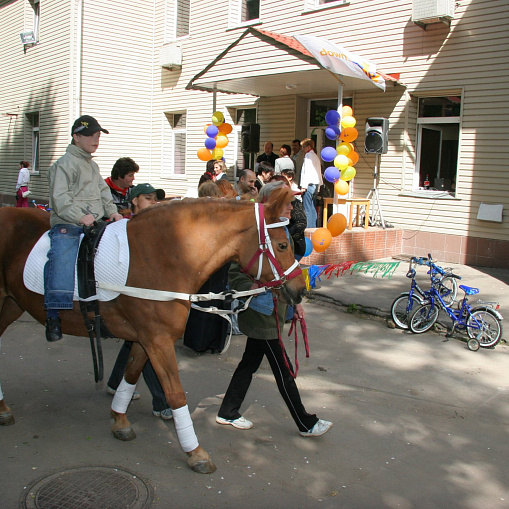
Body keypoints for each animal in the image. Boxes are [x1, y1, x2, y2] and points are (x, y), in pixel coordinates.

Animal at [0, 190, 304, 472]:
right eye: (282, 244)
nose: (300, 290)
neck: (165, 254)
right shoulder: (158, 341)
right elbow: (175, 393)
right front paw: (195, 451)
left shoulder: (144, 339)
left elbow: (131, 374)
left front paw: (120, 420)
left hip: (12, 305)